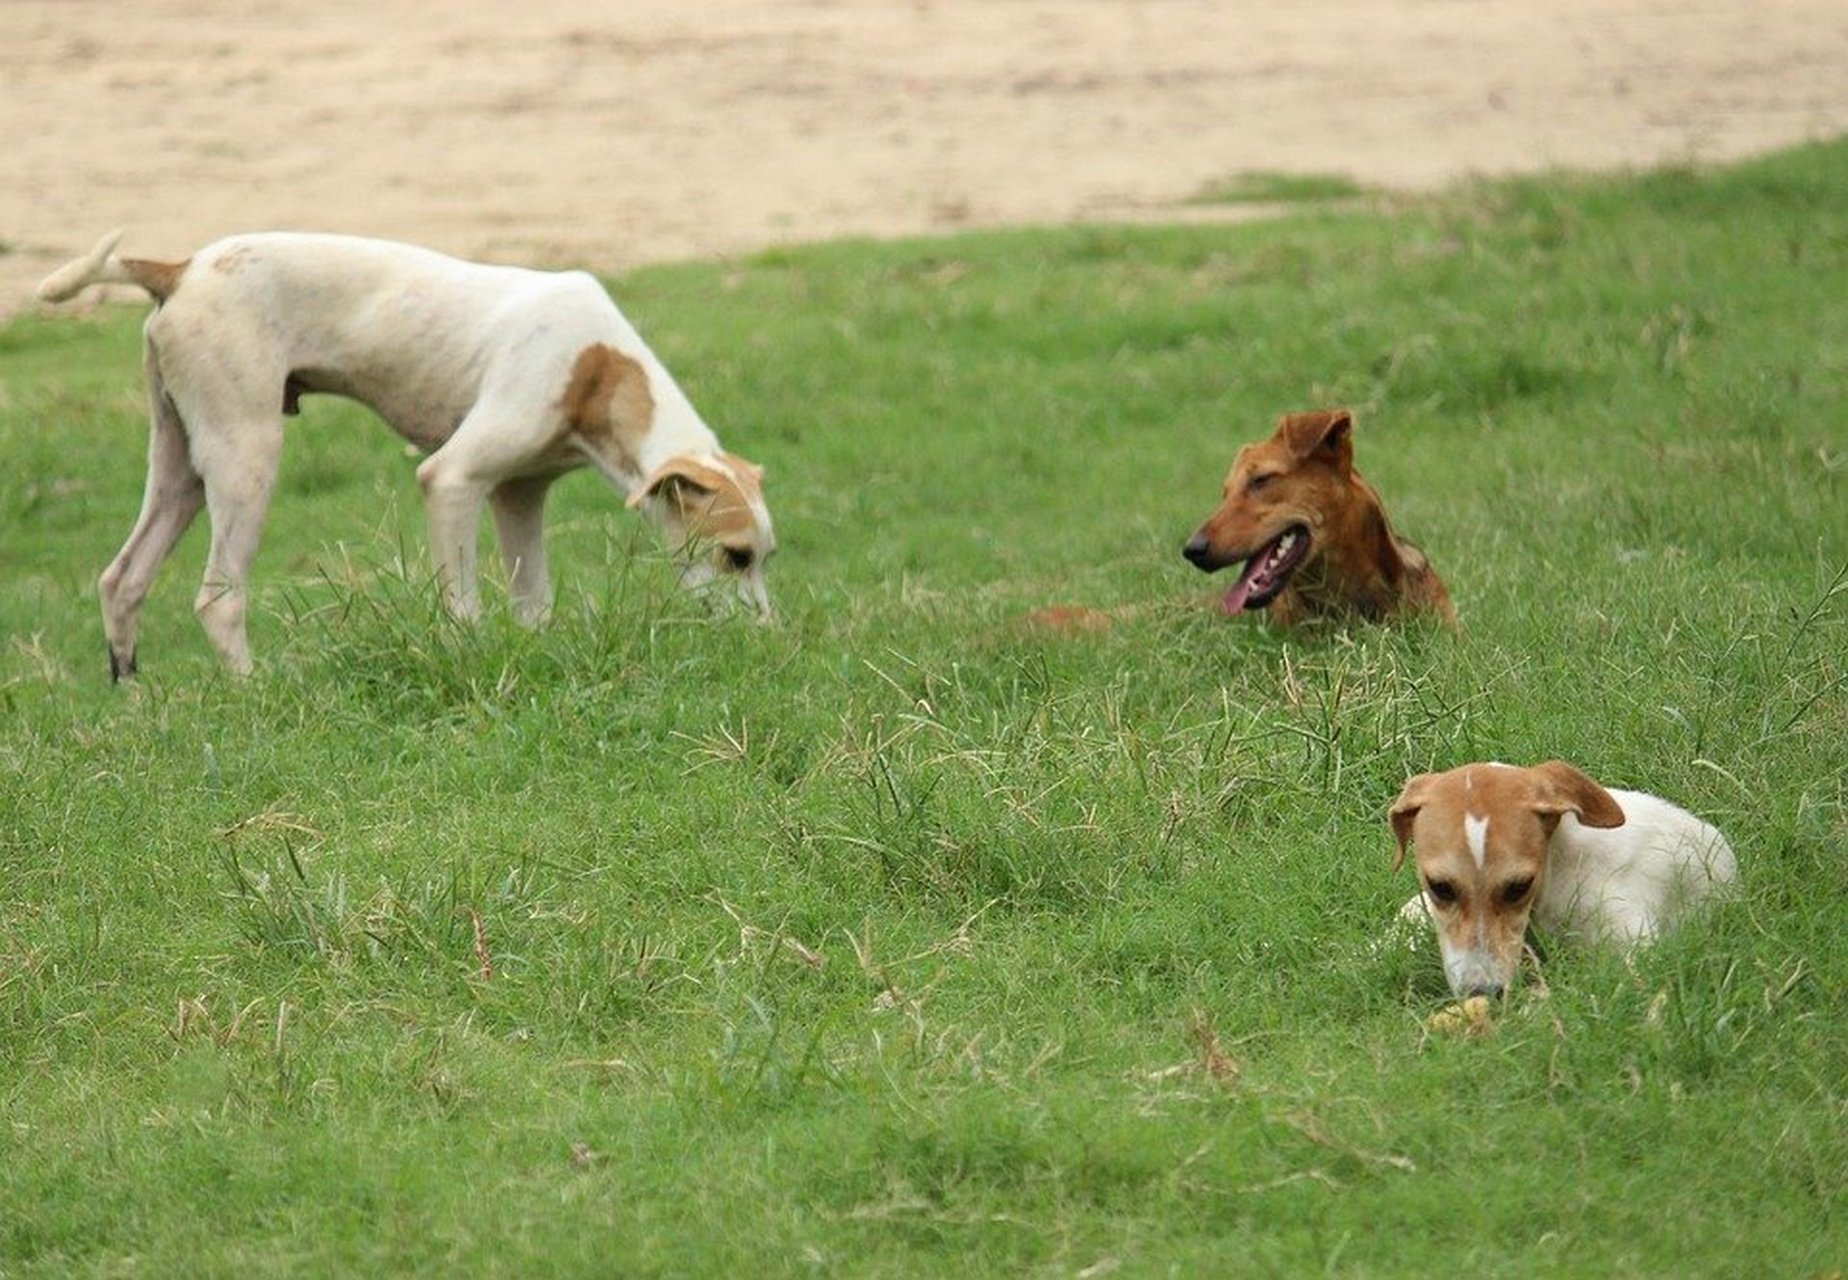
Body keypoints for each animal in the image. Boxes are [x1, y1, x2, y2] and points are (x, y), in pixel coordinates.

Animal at [36, 227, 772, 679]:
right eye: (734, 556)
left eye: (765, 558)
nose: (770, 637)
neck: (597, 367)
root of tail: (179, 270)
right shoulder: (451, 481)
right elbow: (464, 608)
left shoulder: (519, 496)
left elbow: (533, 606)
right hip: (245, 458)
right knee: (218, 599)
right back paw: (255, 690)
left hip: (182, 464)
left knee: (122, 580)